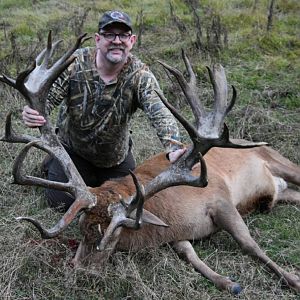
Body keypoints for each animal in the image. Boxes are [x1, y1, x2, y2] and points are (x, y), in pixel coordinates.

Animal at [1, 32, 300, 296]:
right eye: (82, 226)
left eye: (114, 234)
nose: (82, 271)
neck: (173, 213)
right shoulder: (178, 232)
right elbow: (188, 252)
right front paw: (228, 282)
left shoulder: (220, 199)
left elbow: (250, 245)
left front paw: (292, 279)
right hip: (282, 191)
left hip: (278, 160)